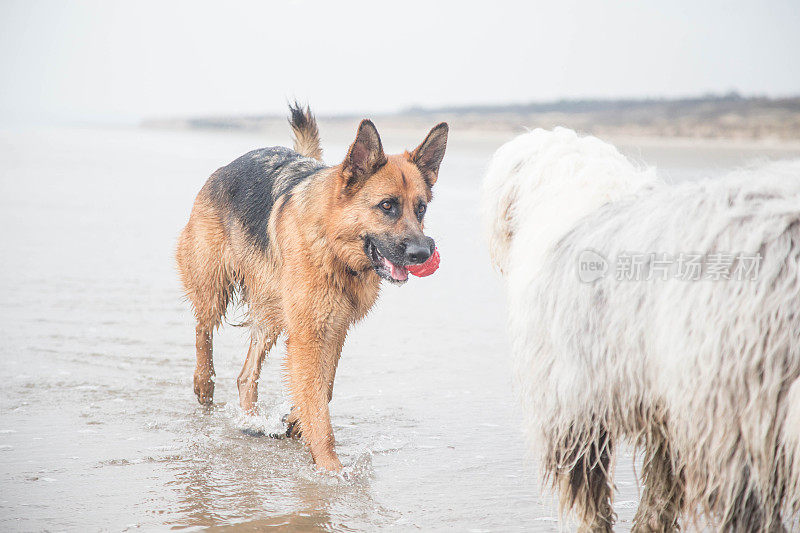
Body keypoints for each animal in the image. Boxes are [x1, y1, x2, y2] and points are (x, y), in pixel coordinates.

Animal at [177, 104, 450, 470]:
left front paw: (296, 420)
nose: (423, 253)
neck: (333, 243)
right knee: (202, 329)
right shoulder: (309, 332)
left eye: (421, 208)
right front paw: (331, 469)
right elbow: (317, 398)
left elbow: (324, 386)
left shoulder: (334, 326)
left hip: (273, 314)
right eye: (387, 206)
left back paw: (250, 420)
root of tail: (227, 167)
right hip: (213, 287)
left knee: (246, 375)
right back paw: (204, 383)